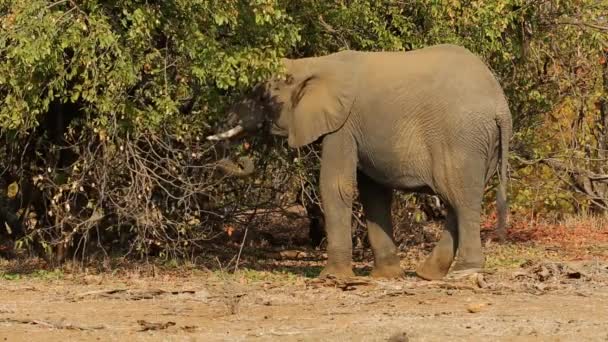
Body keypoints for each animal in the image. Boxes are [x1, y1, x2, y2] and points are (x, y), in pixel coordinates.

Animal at [207, 44, 510, 280]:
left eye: (262, 97)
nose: (244, 157)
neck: (313, 63)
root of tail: (501, 107)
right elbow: (372, 193)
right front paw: (386, 276)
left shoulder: (342, 124)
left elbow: (336, 186)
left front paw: (332, 278)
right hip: (483, 144)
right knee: (456, 200)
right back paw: (428, 275)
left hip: (462, 138)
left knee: (461, 198)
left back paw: (464, 272)